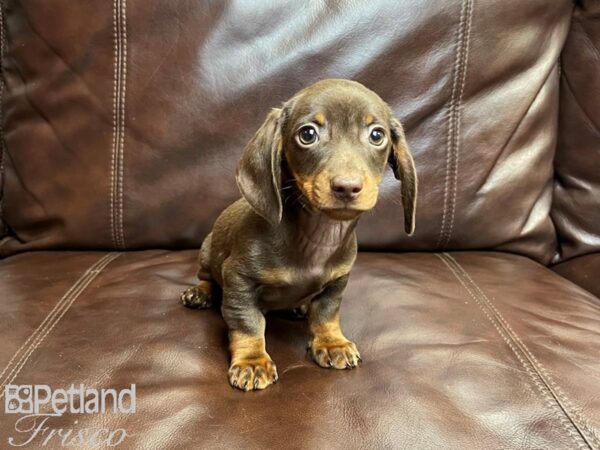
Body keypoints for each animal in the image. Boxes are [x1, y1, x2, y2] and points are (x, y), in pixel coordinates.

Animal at [182, 78, 418, 390]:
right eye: (307, 134)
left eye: (377, 135)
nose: (347, 187)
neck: (317, 237)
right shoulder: (238, 279)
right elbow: (247, 322)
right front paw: (252, 361)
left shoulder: (338, 280)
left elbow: (327, 314)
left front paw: (331, 344)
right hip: (208, 252)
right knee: (207, 277)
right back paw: (200, 292)